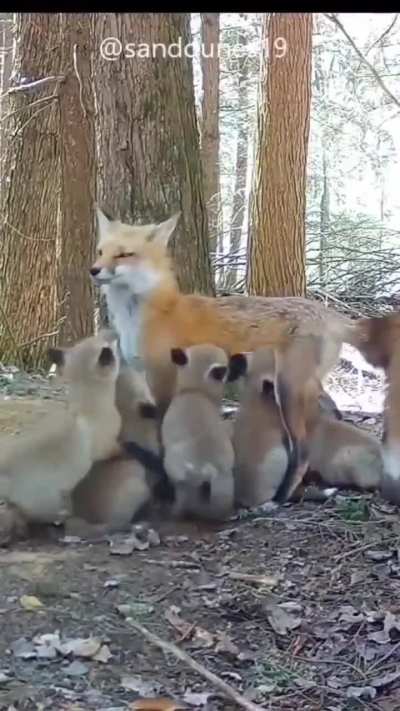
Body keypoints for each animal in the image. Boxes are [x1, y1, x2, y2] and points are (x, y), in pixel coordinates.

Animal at [0, 331, 122, 541]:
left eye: (102, 337)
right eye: (110, 346)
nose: (113, 333)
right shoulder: (109, 446)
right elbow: (120, 449)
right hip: (53, 500)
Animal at [89, 208, 397, 503]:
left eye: (125, 254)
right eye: (101, 251)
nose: (93, 270)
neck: (148, 315)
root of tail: (329, 312)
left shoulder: (163, 379)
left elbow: (163, 435)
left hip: (287, 389)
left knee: (303, 448)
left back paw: (283, 495)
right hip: (306, 386)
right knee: (332, 413)